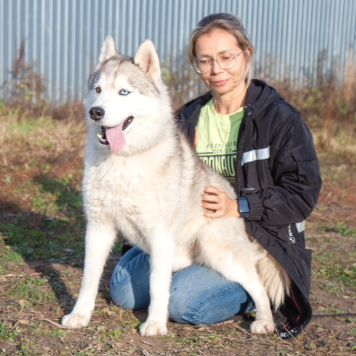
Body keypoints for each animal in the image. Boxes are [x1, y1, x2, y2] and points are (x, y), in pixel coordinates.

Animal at [62, 36, 290, 336]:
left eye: (124, 92)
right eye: (98, 90)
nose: (95, 112)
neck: (124, 160)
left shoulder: (159, 236)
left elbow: (158, 287)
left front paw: (155, 324)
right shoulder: (98, 228)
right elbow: (88, 279)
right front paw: (79, 315)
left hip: (216, 250)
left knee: (258, 286)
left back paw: (264, 321)